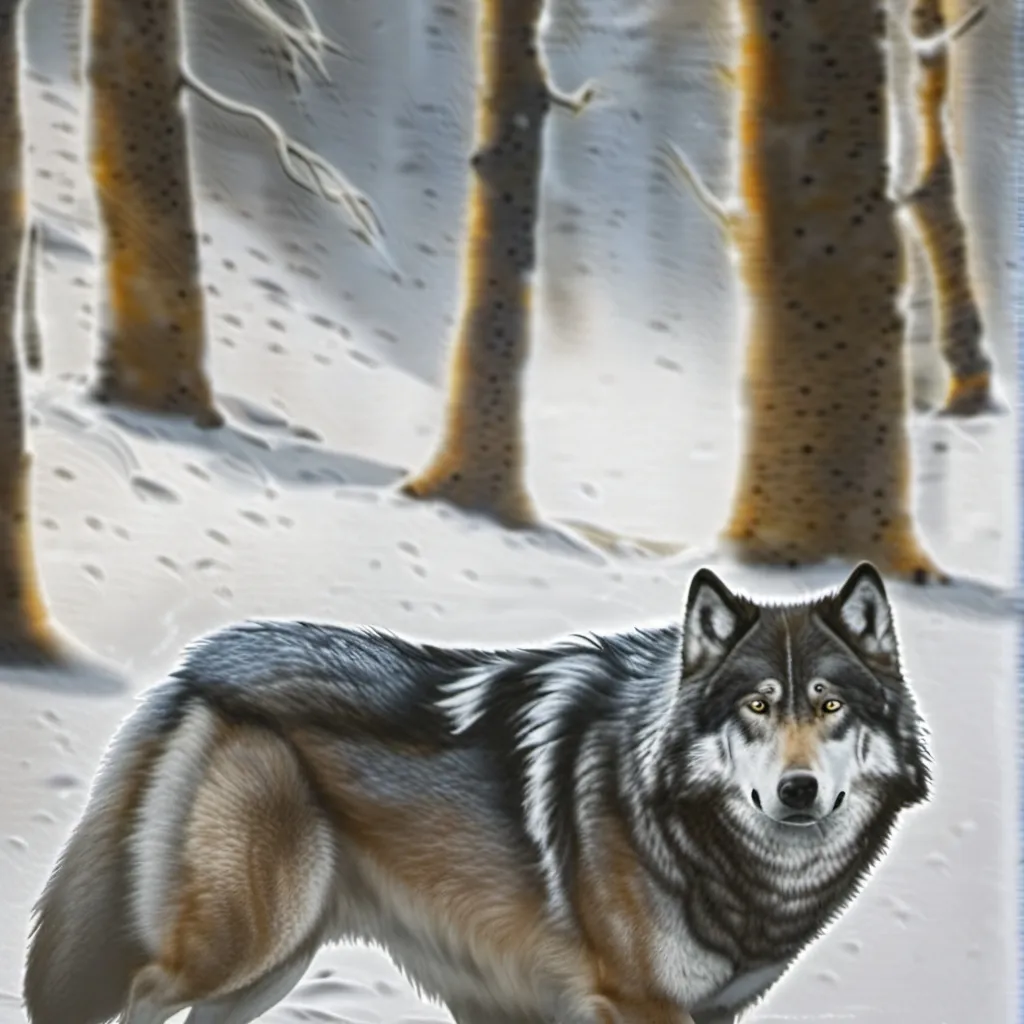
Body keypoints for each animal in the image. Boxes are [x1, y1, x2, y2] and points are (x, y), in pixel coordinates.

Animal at [24, 561, 930, 1024]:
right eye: (758, 706)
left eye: (830, 706)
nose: (798, 792)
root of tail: (199, 664)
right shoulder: (635, 1005)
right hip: (246, 941)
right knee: (141, 993)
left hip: (274, 966)